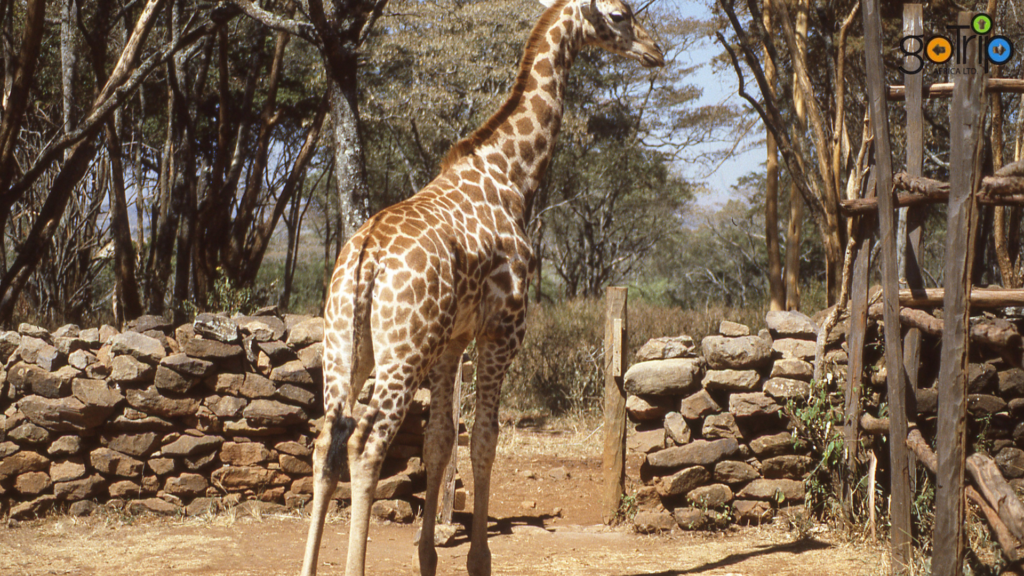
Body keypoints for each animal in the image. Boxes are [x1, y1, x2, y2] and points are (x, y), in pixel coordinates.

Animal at [301, 1, 663, 575]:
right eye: (620, 14)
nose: (655, 52)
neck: (512, 176)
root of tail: (366, 257)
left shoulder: (452, 340)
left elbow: (440, 441)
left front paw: (427, 554)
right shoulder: (502, 330)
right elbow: (486, 440)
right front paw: (478, 558)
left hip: (346, 345)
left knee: (327, 442)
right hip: (402, 350)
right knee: (366, 443)